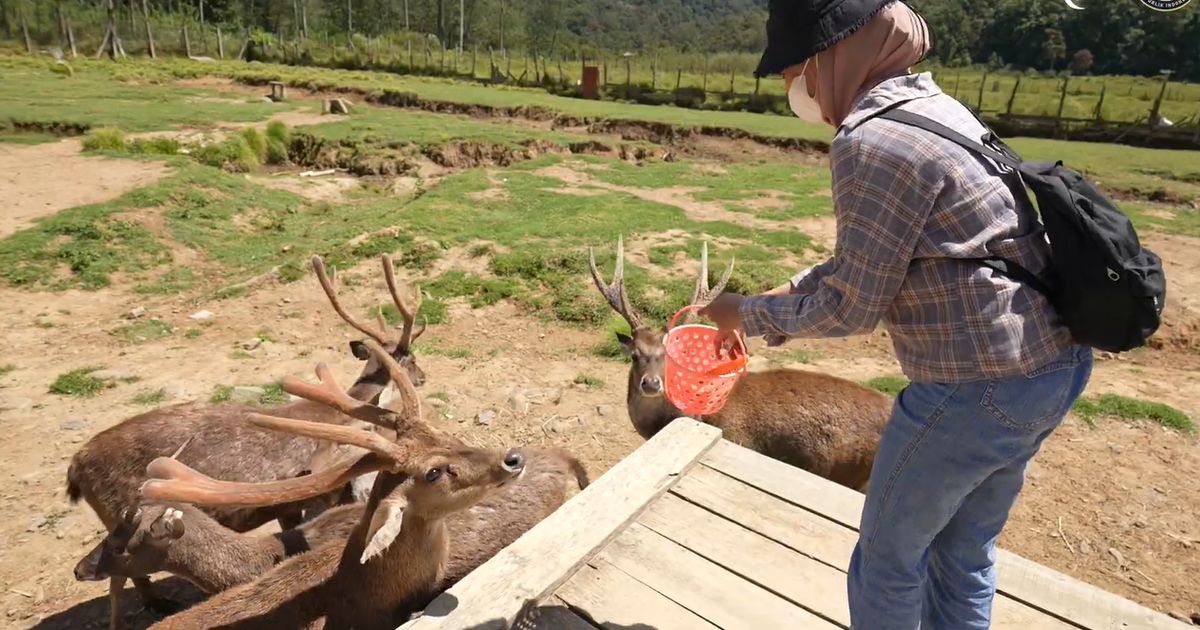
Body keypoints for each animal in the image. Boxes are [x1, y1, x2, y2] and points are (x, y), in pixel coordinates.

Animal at [66, 253, 427, 624]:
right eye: (412, 358)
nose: (424, 376)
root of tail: (74, 469)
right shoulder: (303, 497)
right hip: (116, 512)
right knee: (119, 579)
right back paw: (155, 604)